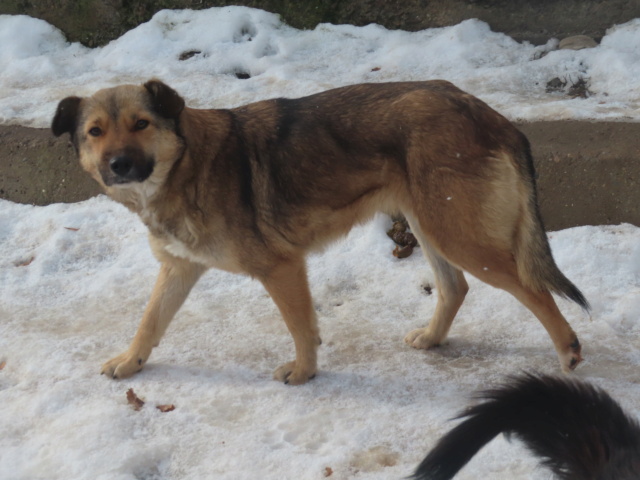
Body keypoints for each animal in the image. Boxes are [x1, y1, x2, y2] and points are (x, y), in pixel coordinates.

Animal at [52, 79, 588, 386]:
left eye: (141, 123)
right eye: (95, 132)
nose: (119, 165)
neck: (187, 165)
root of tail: (488, 112)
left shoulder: (282, 268)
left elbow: (300, 327)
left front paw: (304, 372)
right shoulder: (178, 269)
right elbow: (149, 322)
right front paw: (131, 361)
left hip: (458, 234)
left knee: (534, 289)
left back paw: (568, 352)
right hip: (429, 222)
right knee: (455, 287)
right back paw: (434, 338)